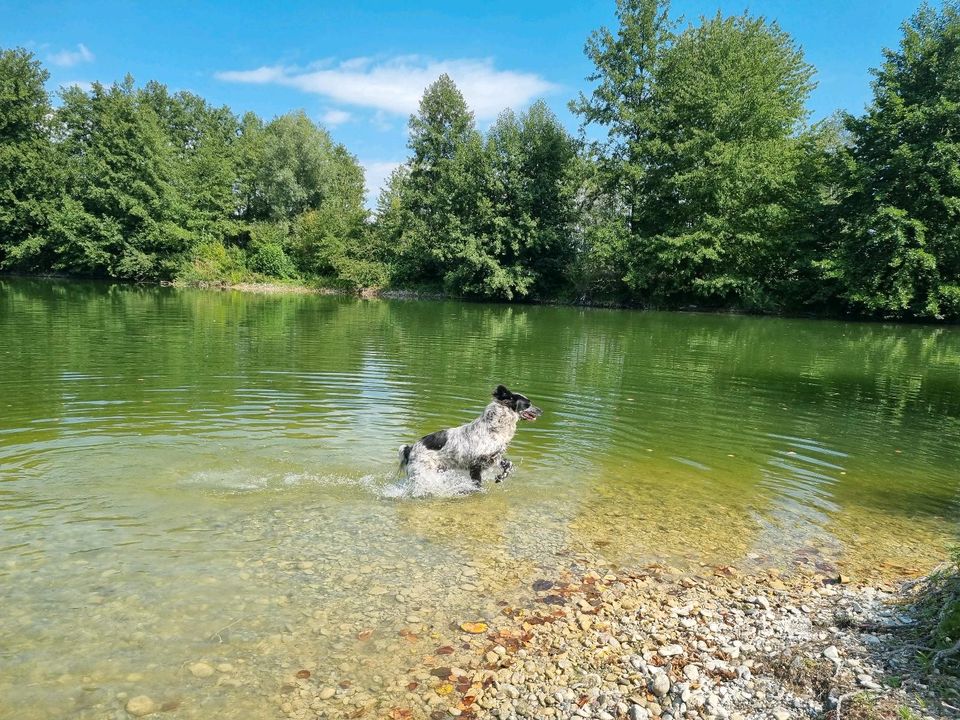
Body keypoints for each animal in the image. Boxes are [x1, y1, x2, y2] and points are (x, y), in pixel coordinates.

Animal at [398, 382, 544, 490]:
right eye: (528, 404)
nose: (541, 410)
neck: (493, 426)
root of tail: (410, 448)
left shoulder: (494, 456)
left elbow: (509, 464)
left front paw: (500, 477)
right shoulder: (476, 464)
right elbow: (477, 484)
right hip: (423, 473)